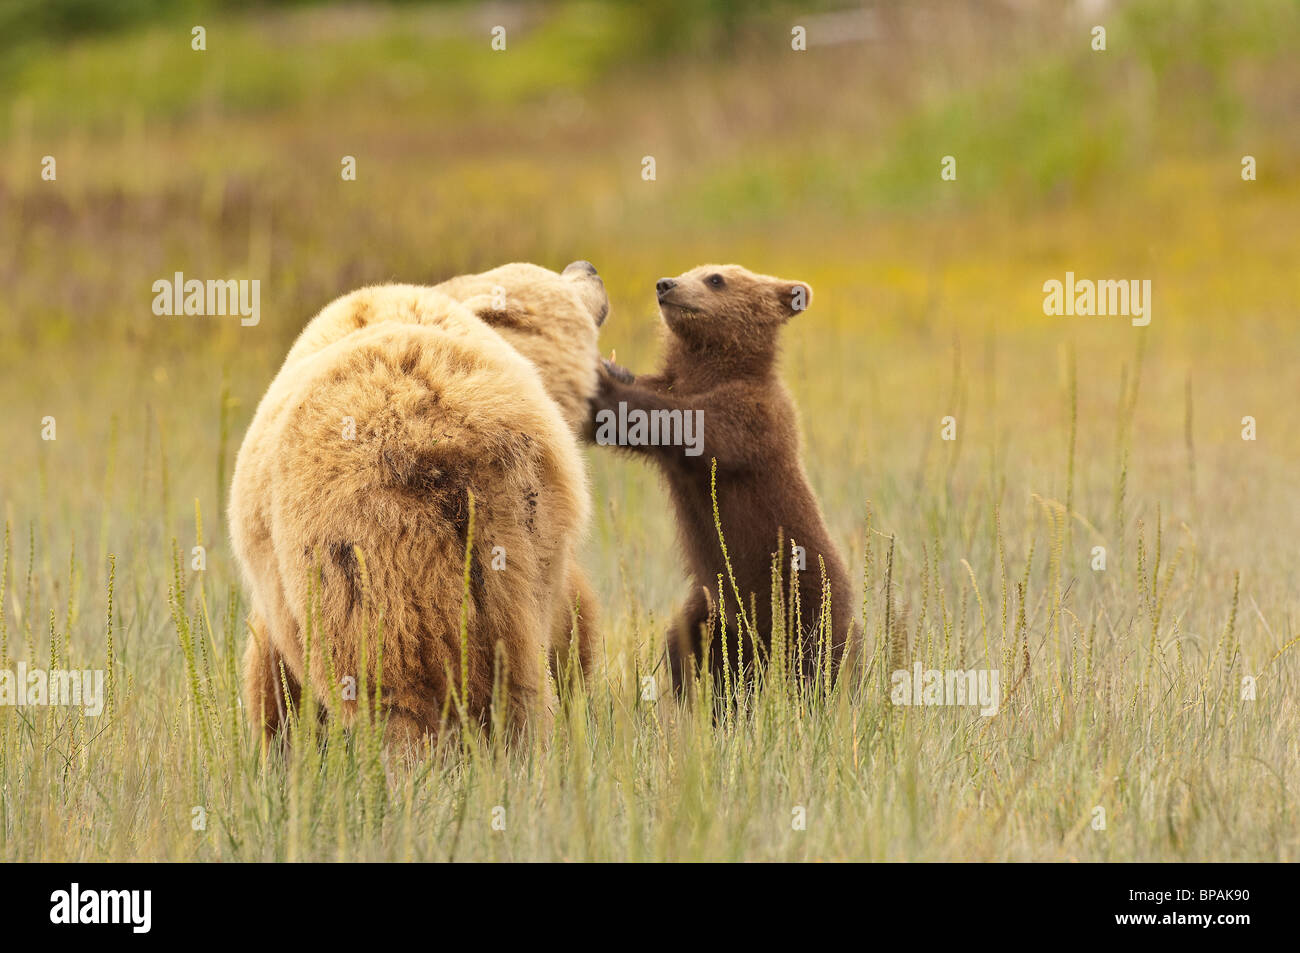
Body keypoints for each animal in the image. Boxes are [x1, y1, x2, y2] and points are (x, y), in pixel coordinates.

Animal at [229, 261, 608, 753]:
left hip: (362, 558)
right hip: (508, 535)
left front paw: (280, 741)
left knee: (397, 693)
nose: (589, 269)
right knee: (515, 680)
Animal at [589, 264, 852, 694]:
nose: (665, 285)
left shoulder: (750, 418)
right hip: (713, 611)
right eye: (688, 271)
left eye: (715, 279)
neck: (710, 370)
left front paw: (601, 379)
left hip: (803, 596)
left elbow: (686, 425)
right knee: (689, 649)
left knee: (818, 663)